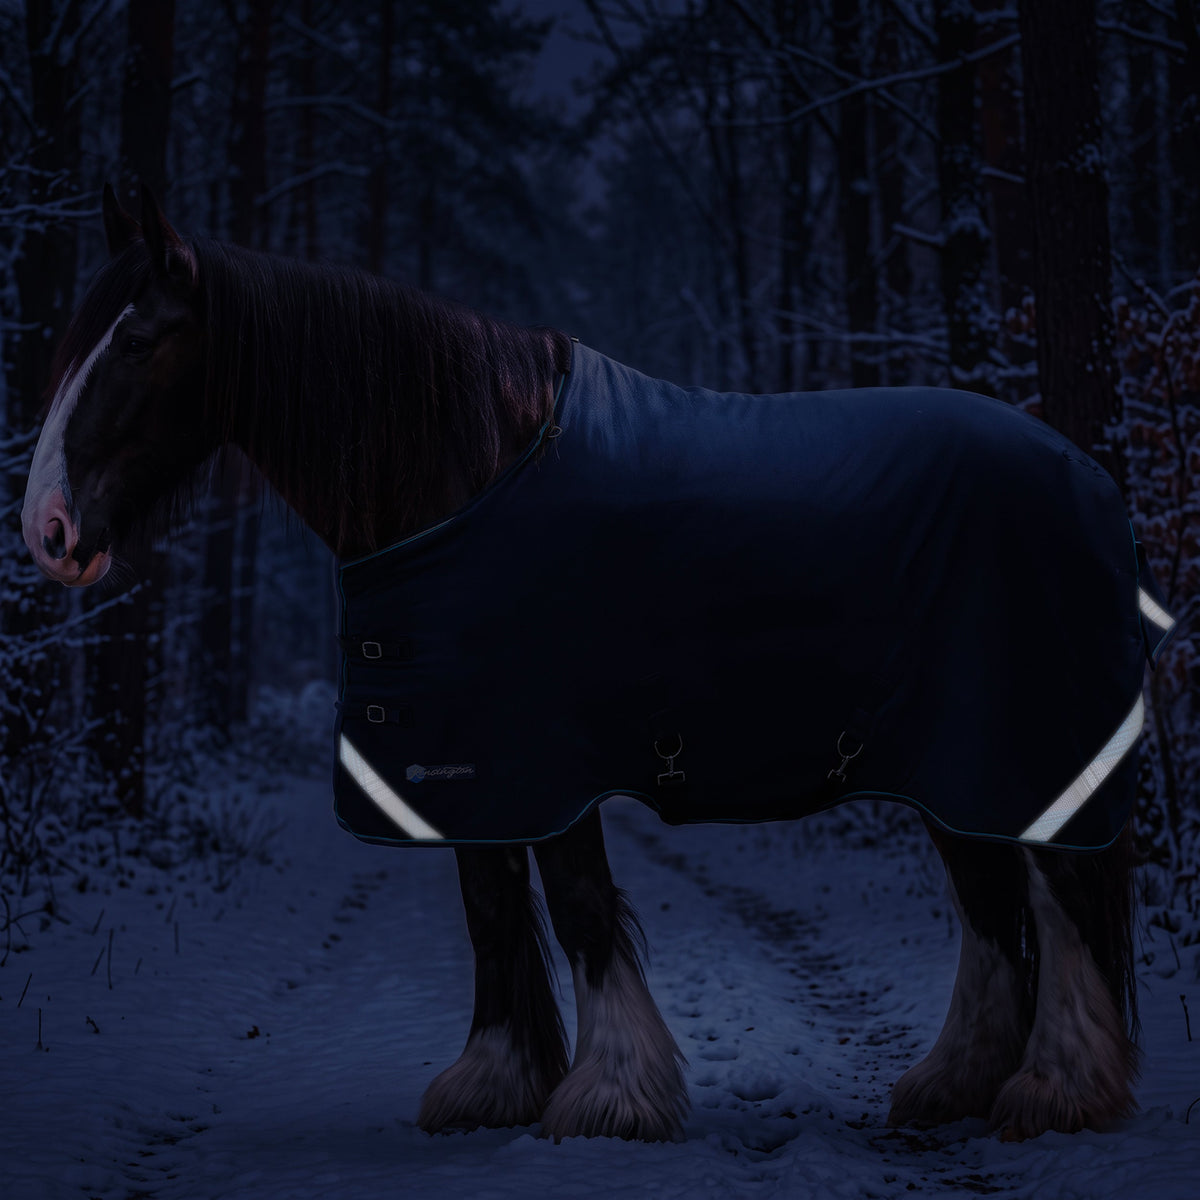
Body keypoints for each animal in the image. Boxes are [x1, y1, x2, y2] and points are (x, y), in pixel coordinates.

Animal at [21, 185, 1167, 1143]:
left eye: (137, 342)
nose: (49, 531)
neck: (467, 474)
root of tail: (1086, 475)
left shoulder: (548, 760)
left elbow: (575, 905)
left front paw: (613, 1095)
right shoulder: (468, 765)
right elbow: (490, 908)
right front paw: (494, 1084)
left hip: (1016, 751)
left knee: (1055, 896)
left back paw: (1055, 1089)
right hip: (949, 765)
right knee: (991, 906)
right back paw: (956, 1084)